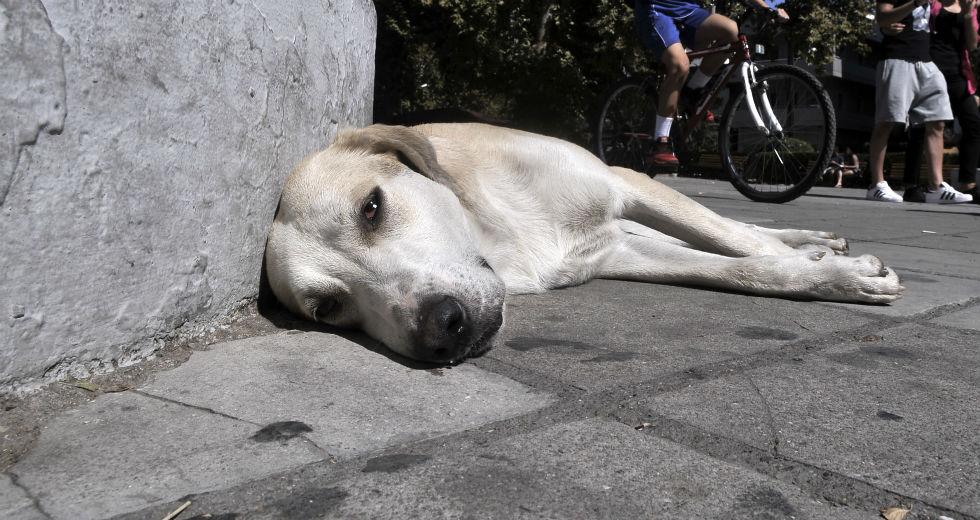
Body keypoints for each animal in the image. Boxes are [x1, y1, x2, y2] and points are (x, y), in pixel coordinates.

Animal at [266, 124, 904, 364]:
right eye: (328, 309)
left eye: (371, 208)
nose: (441, 330)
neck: (499, 235)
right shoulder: (619, 253)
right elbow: (736, 267)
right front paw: (824, 273)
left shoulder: (625, 182)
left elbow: (734, 240)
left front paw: (839, 271)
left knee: (735, 225)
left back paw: (813, 238)